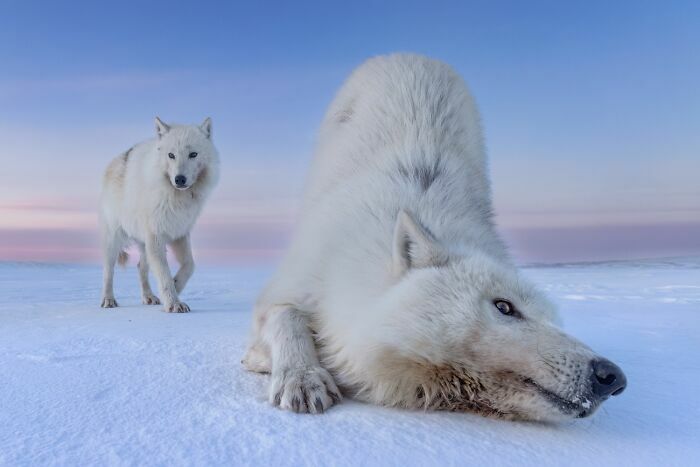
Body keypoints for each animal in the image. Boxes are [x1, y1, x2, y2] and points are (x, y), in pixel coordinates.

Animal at [99, 117, 219, 313]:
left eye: (193, 154)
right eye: (171, 155)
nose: (179, 179)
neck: (176, 197)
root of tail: (115, 160)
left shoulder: (179, 233)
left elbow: (190, 265)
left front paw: (176, 286)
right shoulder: (156, 236)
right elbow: (163, 273)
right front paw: (174, 303)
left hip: (144, 244)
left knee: (140, 267)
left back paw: (149, 297)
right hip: (114, 240)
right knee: (108, 271)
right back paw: (108, 300)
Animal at [243, 54, 627, 421]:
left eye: (553, 320)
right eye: (504, 307)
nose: (612, 377)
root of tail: (411, 55)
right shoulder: (297, 280)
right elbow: (285, 318)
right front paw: (300, 376)